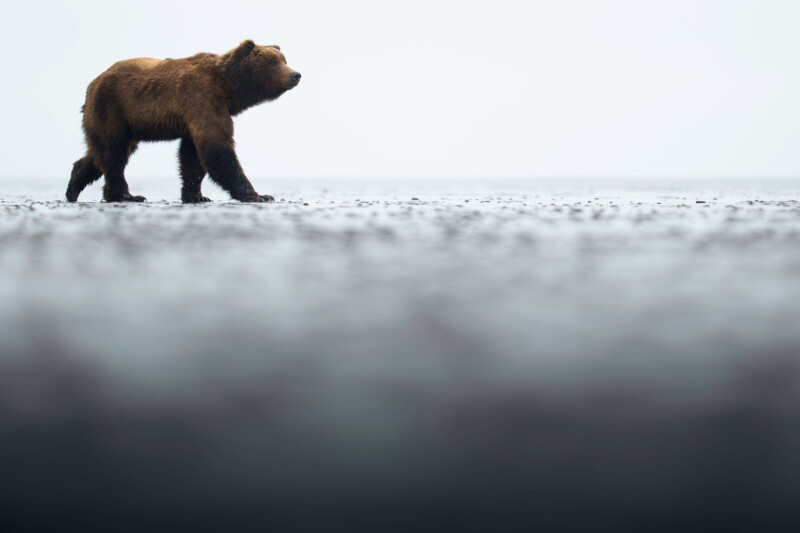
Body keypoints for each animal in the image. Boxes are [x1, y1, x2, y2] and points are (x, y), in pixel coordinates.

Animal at [66, 40, 301, 203]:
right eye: (273, 62)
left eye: (284, 59)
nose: (296, 74)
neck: (227, 88)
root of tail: (92, 83)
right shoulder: (202, 98)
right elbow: (217, 147)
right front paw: (258, 195)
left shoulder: (195, 116)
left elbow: (192, 156)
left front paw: (196, 195)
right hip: (113, 107)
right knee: (114, 152)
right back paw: (126, 195)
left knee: (101, 154)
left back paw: (73, 188)